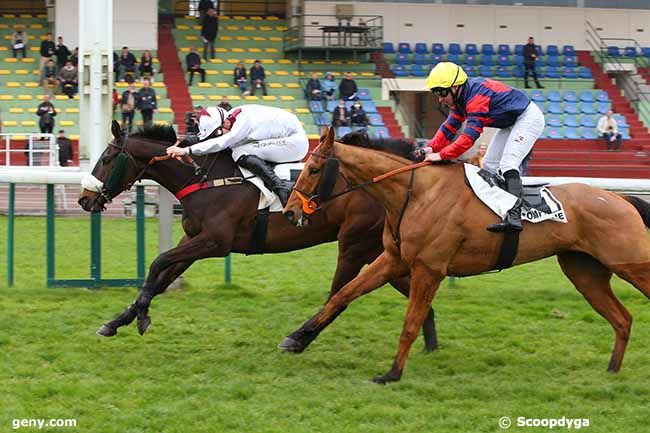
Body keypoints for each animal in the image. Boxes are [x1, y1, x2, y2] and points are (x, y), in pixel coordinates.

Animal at [78, 120, 438, 350]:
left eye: (106, 158)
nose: (84, 199)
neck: (204, 178)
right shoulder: (193, 241)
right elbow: (162, 277)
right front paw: (120, 320)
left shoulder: (215, 242)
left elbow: (157, 263)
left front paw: (140, 316)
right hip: (382, 251)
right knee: (410, 294)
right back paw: (430, 343)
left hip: (354, 246)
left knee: (339, 295)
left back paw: (299, 337)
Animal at [280, 126, 648, 384]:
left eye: (313, 169)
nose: (289, 211)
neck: (416, 193)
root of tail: (622, 199)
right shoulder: (393, 259)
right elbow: (342, 294)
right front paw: (297, 339)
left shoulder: (429, 269)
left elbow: (411, 322)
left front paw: (392, 373)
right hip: (585, 272)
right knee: (622, 319)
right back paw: (612, 370)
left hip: (631, 264)